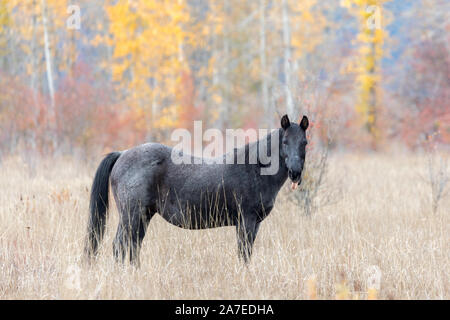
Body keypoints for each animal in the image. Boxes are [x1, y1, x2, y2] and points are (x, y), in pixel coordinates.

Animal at [85, 115, 310, 264]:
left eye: (305, 143)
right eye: (284, 142)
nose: (295, 172)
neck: (254, 167)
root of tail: (122, 154)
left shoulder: (254, 224)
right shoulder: (246, 220)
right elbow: (243, 254)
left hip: (143, 216)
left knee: (132, 247)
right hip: (131, 215)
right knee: (120, 246)